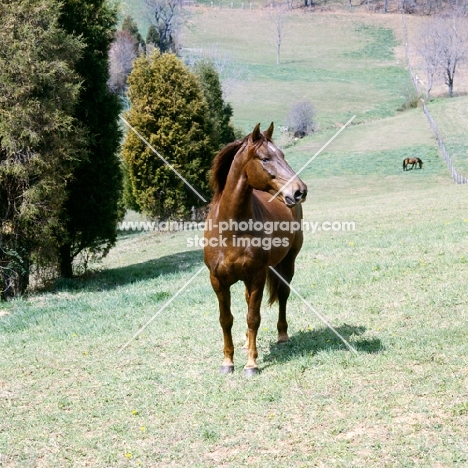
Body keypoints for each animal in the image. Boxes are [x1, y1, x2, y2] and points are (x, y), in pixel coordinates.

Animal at [204, 121, 308, 376]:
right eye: (265, 158)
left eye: (283, 155)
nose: (299, 191)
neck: (232, 229)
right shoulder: (217, 280)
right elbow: (226, 319)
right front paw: (227, 362)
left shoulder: (257, 276)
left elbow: (253, 318)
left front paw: (251, 364)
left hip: (287, 263)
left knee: (283, 295)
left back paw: (282, 335)